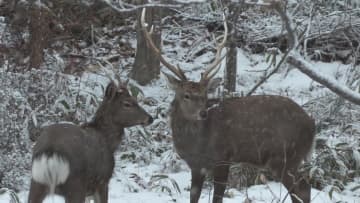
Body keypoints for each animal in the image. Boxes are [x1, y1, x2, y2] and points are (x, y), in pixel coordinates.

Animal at [141, 7, 316, 203]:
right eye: (186, 95)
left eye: (205, 95)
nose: (203, 113)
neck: (196, 146)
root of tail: (312, 125)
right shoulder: (196, 166)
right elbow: (194, 196)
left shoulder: (222, 159)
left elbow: (217, 197)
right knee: (303, 189)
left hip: (286, 156)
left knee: (301, 189)